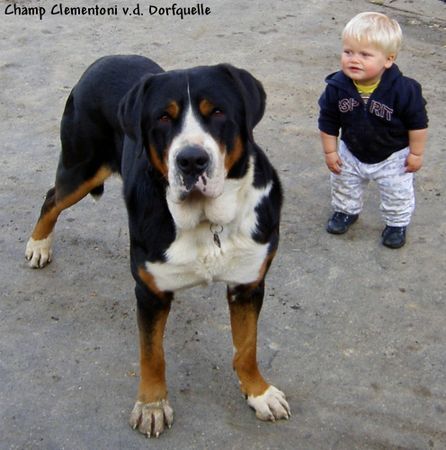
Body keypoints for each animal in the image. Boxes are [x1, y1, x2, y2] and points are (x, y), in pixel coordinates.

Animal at [25, 54, 290, 438]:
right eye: (163, 117)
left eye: (218, 112)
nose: (191, 160)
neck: (205, 222)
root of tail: (105, 59)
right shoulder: (150, 292)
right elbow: (152, 354)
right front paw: (152, 405)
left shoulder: (248, 284)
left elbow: (247, 346)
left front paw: (259, 392)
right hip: (81, 167)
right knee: (52, 198)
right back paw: (39, 245)